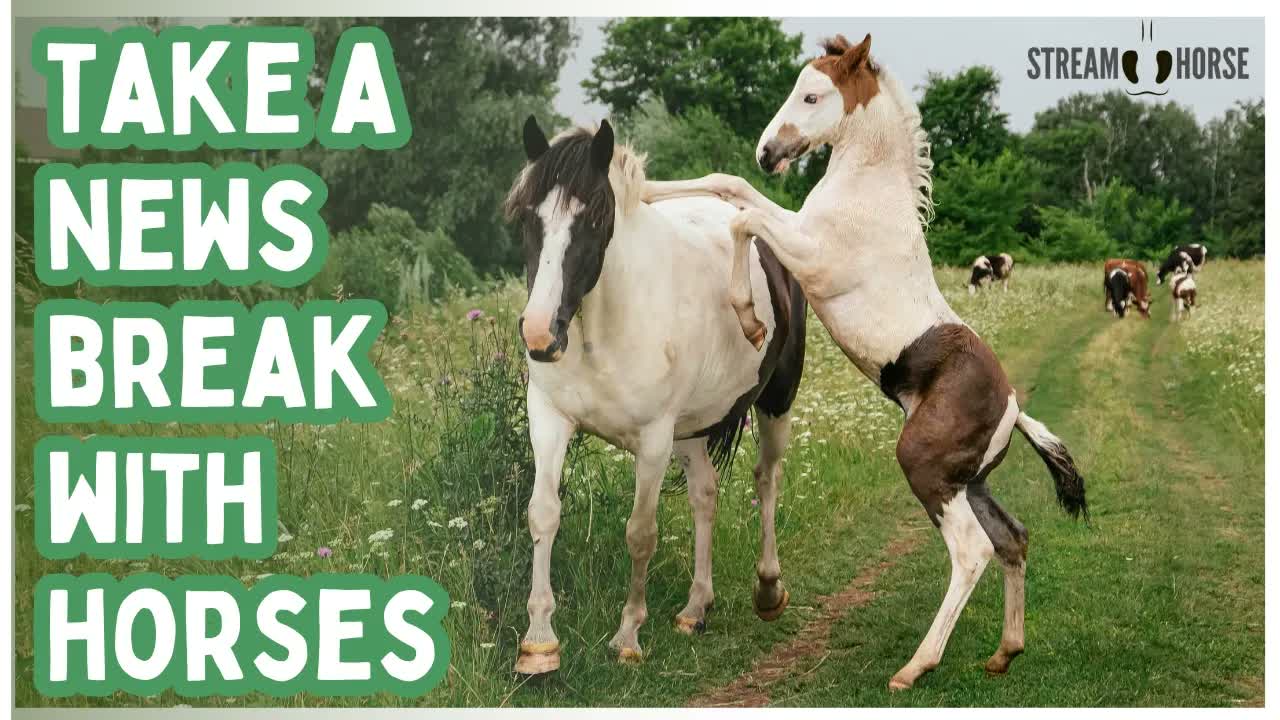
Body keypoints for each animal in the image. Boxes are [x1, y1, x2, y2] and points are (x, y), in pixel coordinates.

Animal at [505, 117, 807, 674]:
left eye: (595, 219)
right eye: (528, 218)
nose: (539, 335)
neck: (603, 329)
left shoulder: (652, 440)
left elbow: (640, 532)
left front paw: (628, 635)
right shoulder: (550, 419)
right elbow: (543, 513)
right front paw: (538, 643)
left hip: (774, 402)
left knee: (767, 478)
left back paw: (769, 590)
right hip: (690, 431)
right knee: (705, 493)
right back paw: (696, 608)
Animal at [642, 33, 1086, 691]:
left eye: (812, 95)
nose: (768, 151)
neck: (867, 191)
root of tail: (1014, 409)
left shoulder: (812, 254)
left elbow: (745, 214)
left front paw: (749, 317)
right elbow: (732, 187)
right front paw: (645, 187)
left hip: (926, 468)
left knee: (972, 551)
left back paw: (916, 666)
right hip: (969, 481)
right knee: (1013, 539)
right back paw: (1004, 653)